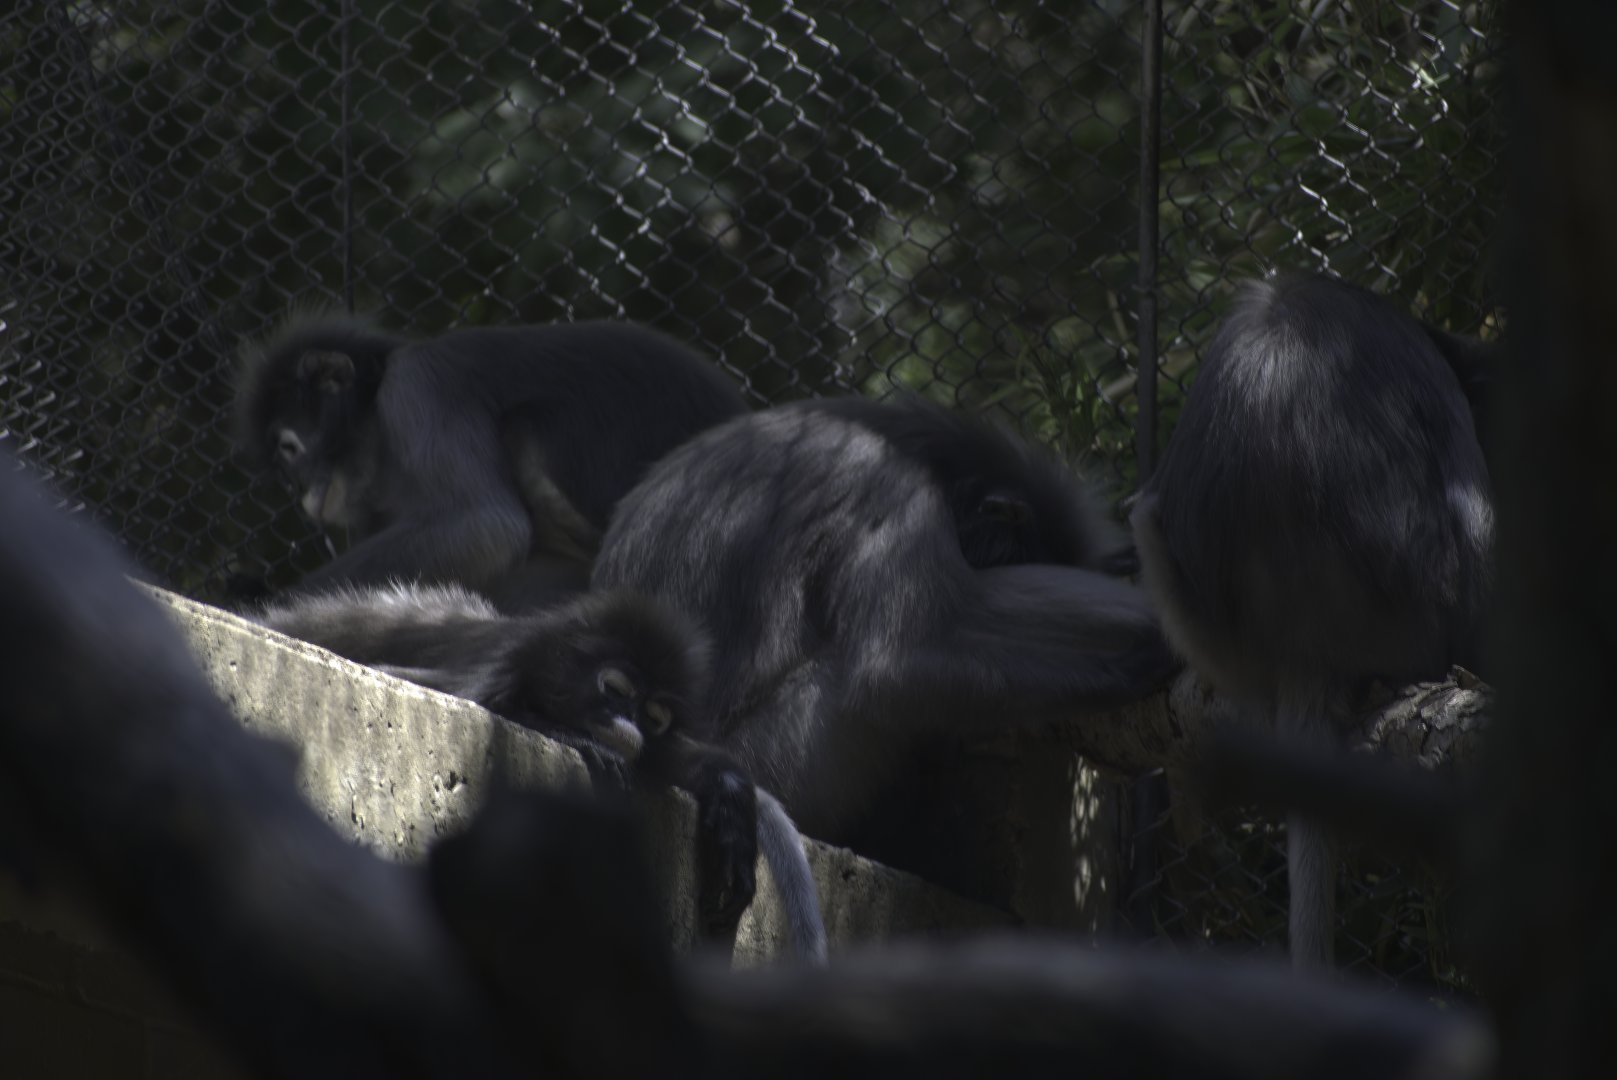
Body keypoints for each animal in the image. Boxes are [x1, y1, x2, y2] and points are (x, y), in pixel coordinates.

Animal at [252, 582, 829, 965]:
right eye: (616, 690)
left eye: (655, 716)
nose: (628, 728)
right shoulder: (495, 666)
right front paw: (573, 738)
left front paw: (732, 808)